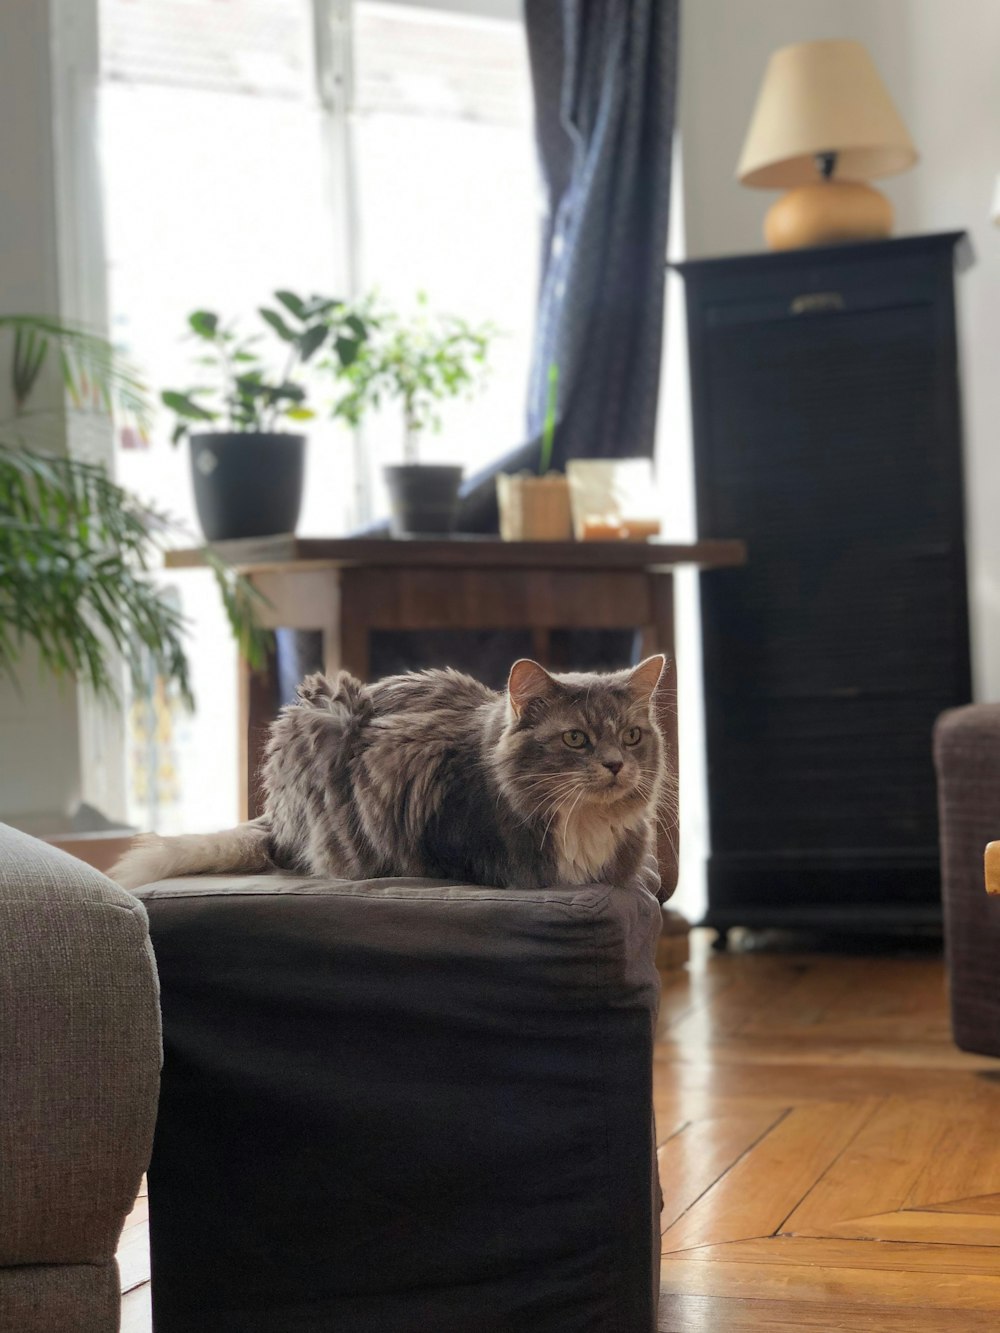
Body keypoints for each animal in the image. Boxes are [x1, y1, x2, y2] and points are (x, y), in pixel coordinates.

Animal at [113, 655, 669, 895]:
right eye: (575, 739)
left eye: (632, 737)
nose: (616, 764)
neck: (583, 823)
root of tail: (273, 816)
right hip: (332, 720)